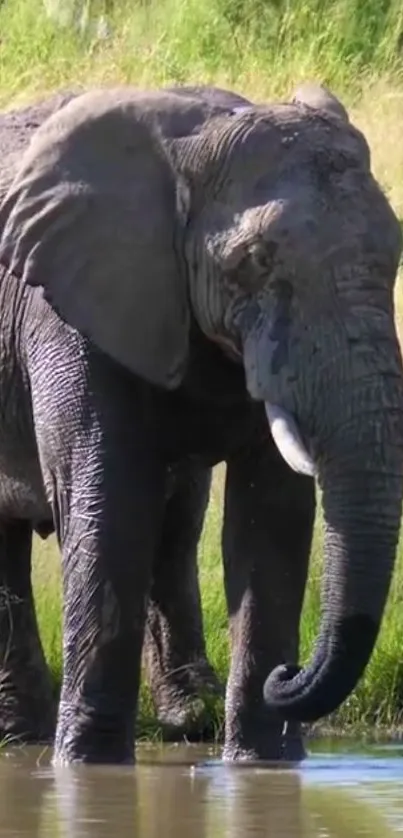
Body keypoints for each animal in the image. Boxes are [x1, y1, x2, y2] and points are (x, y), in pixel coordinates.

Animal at [0, 79, 400, 768]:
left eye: (394, 252)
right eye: (257, 260)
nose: (289, 676)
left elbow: (270, 521)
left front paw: (264, 765)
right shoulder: (70, 303)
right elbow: (109, 506)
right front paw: (89, 768)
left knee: (177, 516)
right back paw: (26, 743)